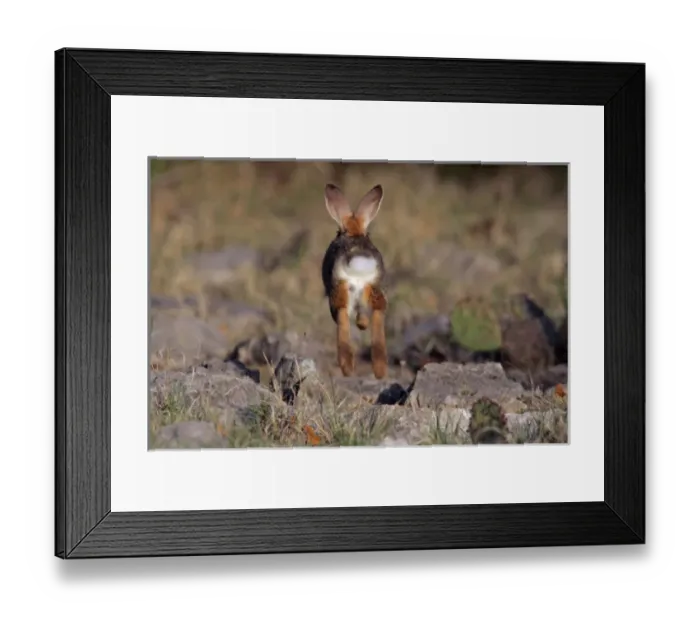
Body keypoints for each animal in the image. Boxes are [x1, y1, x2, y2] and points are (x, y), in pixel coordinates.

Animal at [321, 183, 388, 379]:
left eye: (338, 232)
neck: (354, 231)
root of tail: (359, 261)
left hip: (340, 290)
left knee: (342, 317)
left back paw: (347, 368)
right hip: (373, 287)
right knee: (378, 311)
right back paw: (380, 369)